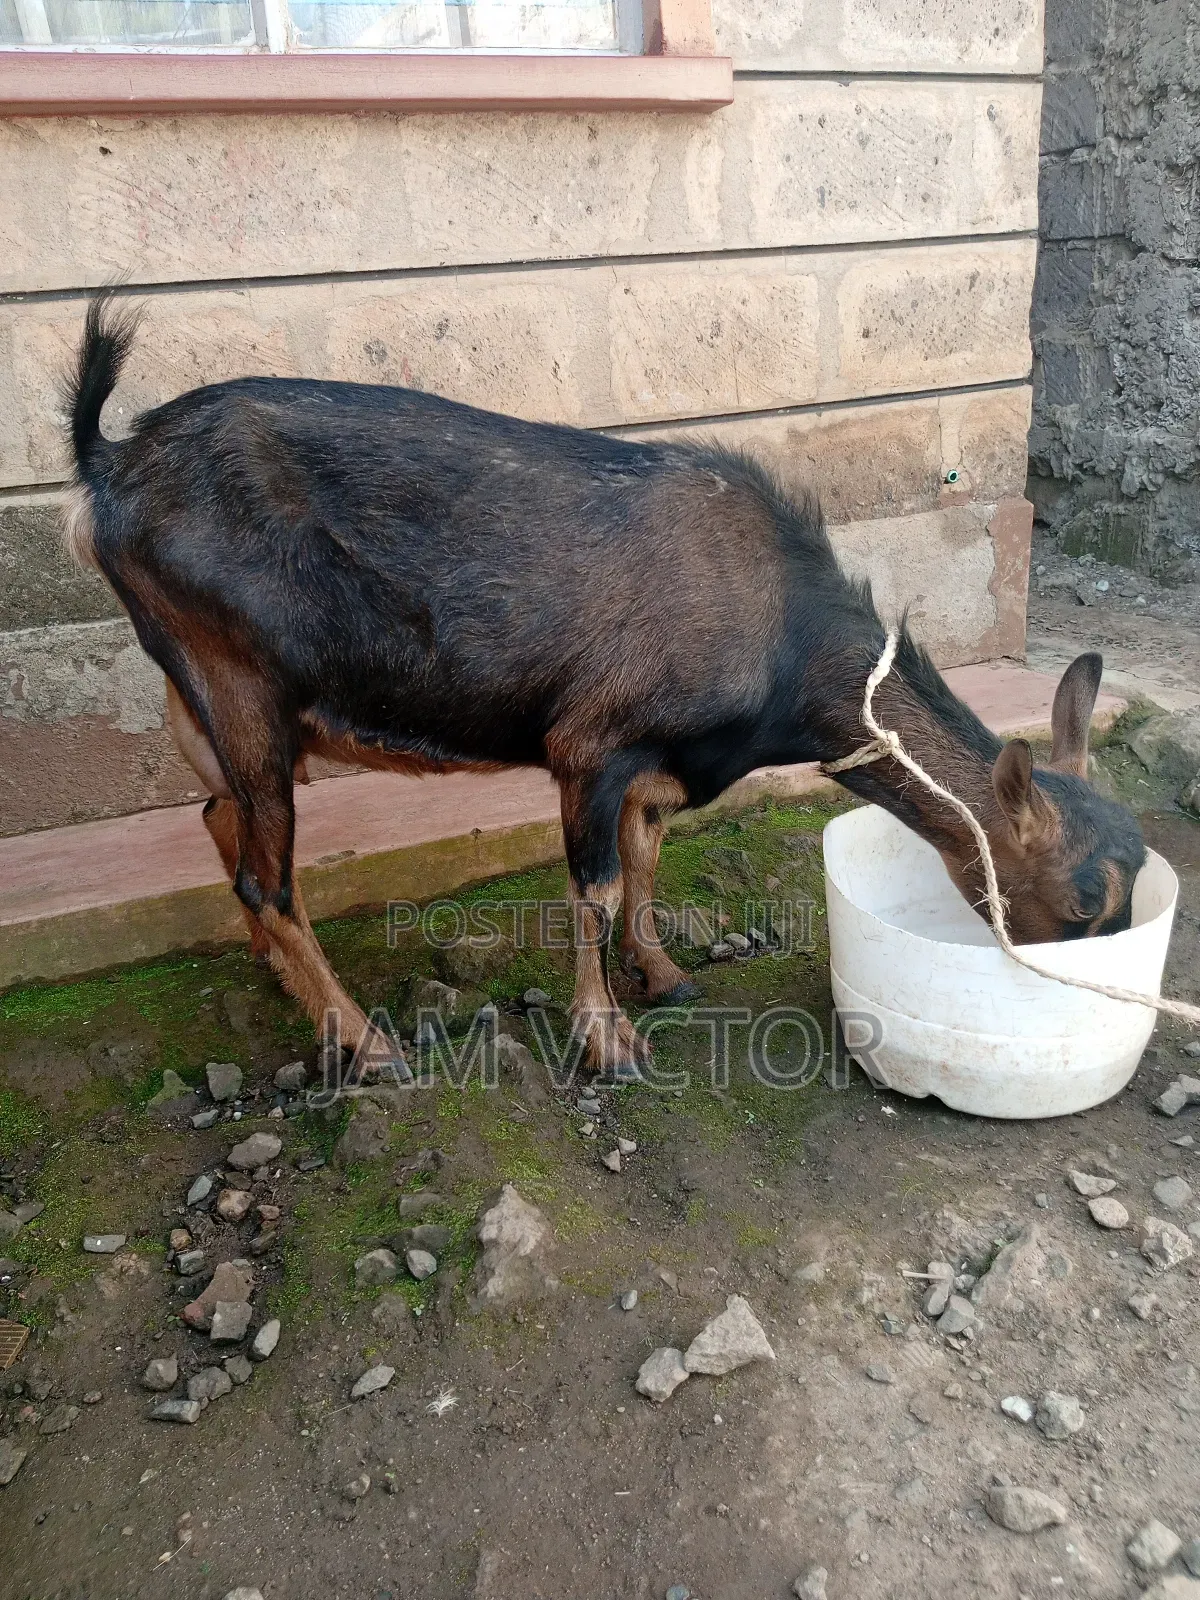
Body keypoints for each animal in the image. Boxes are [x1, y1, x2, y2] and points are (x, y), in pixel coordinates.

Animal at [63, 296, 1146, 1080]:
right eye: (1083, 899)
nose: (1091, 984)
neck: (785, 642)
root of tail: (105, 466)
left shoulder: (656, 766)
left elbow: (647, 855)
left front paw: (661, 972)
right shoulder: (591, 741)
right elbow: (594, 883)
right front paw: (607, 1038)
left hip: (200, 691)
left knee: (220, 819)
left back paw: (280, 976)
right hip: (236, 671)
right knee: (268, 873)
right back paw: (362, 1041)